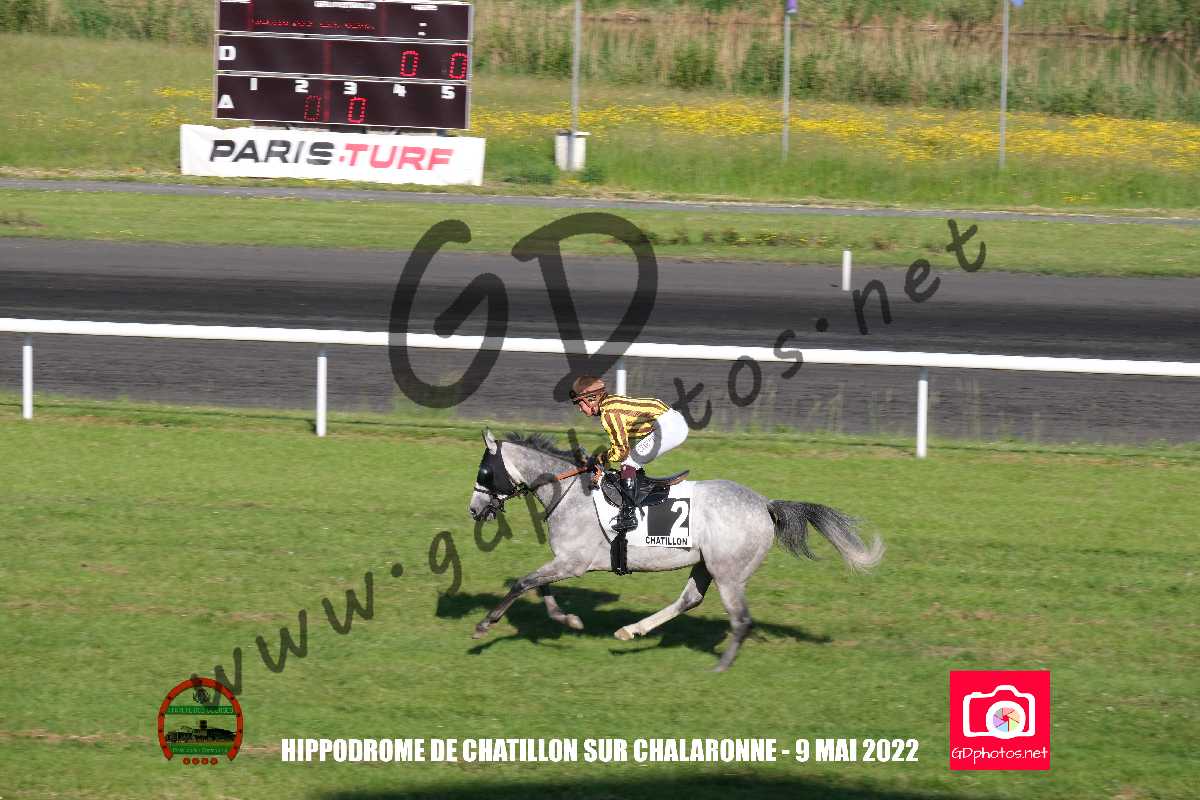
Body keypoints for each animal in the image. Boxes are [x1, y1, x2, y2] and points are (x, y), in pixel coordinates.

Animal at [467, 429, 884, 671]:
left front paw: (485, 624)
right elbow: (539, 586)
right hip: (704, 564)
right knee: (689, 600)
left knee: (741, 619)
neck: (570, 493)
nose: (474, 509)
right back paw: (631, 631)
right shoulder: (567, 562)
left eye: (484, 473)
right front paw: (568, 620)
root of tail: (765, 505)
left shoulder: (574, 561)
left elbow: (524, 583)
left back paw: (720, 667)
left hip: (729, 573)